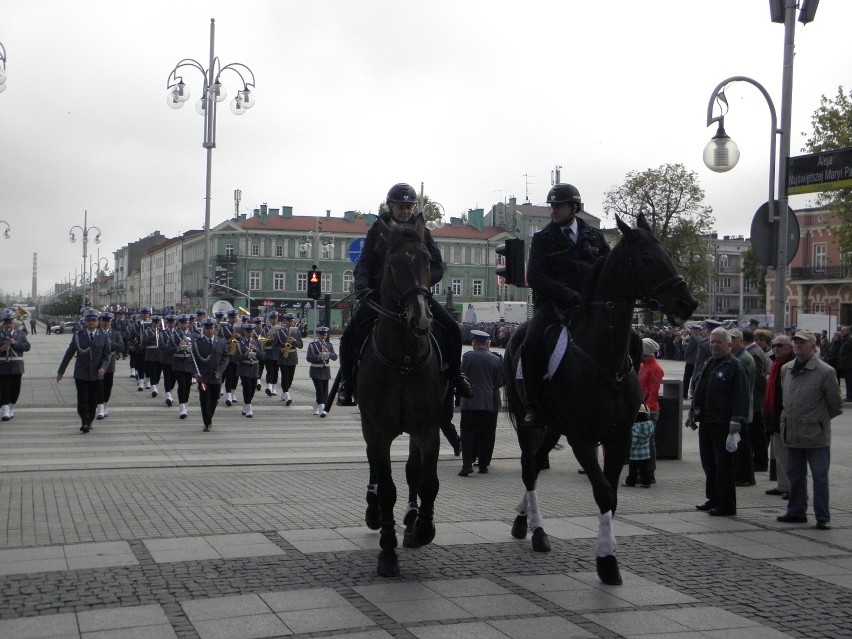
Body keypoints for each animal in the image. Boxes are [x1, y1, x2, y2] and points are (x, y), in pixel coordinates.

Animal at [356, 216, 452, 580]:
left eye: (427, 259)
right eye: (392, 264)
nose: (421, 318)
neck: (404, 359)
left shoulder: (428, 428)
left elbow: (427, 481)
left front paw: (422, 529)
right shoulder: (376, 430)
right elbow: (386, 488)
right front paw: (387, 551)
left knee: (413, 469)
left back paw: (412, 519)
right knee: (374, 466)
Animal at [502, 214, 696, 584]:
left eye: (667, 253)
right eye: (647, 259)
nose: (687, 303)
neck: (602, 357)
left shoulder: (619, 437)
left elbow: (613, 495)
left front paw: (608, 555)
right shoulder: (582, 438)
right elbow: (603, 491)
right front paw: (607, 561)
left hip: (553, 427)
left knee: (536, 462)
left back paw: (522, 519)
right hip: (527, 421)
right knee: (530, 468)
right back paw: (537, 530)